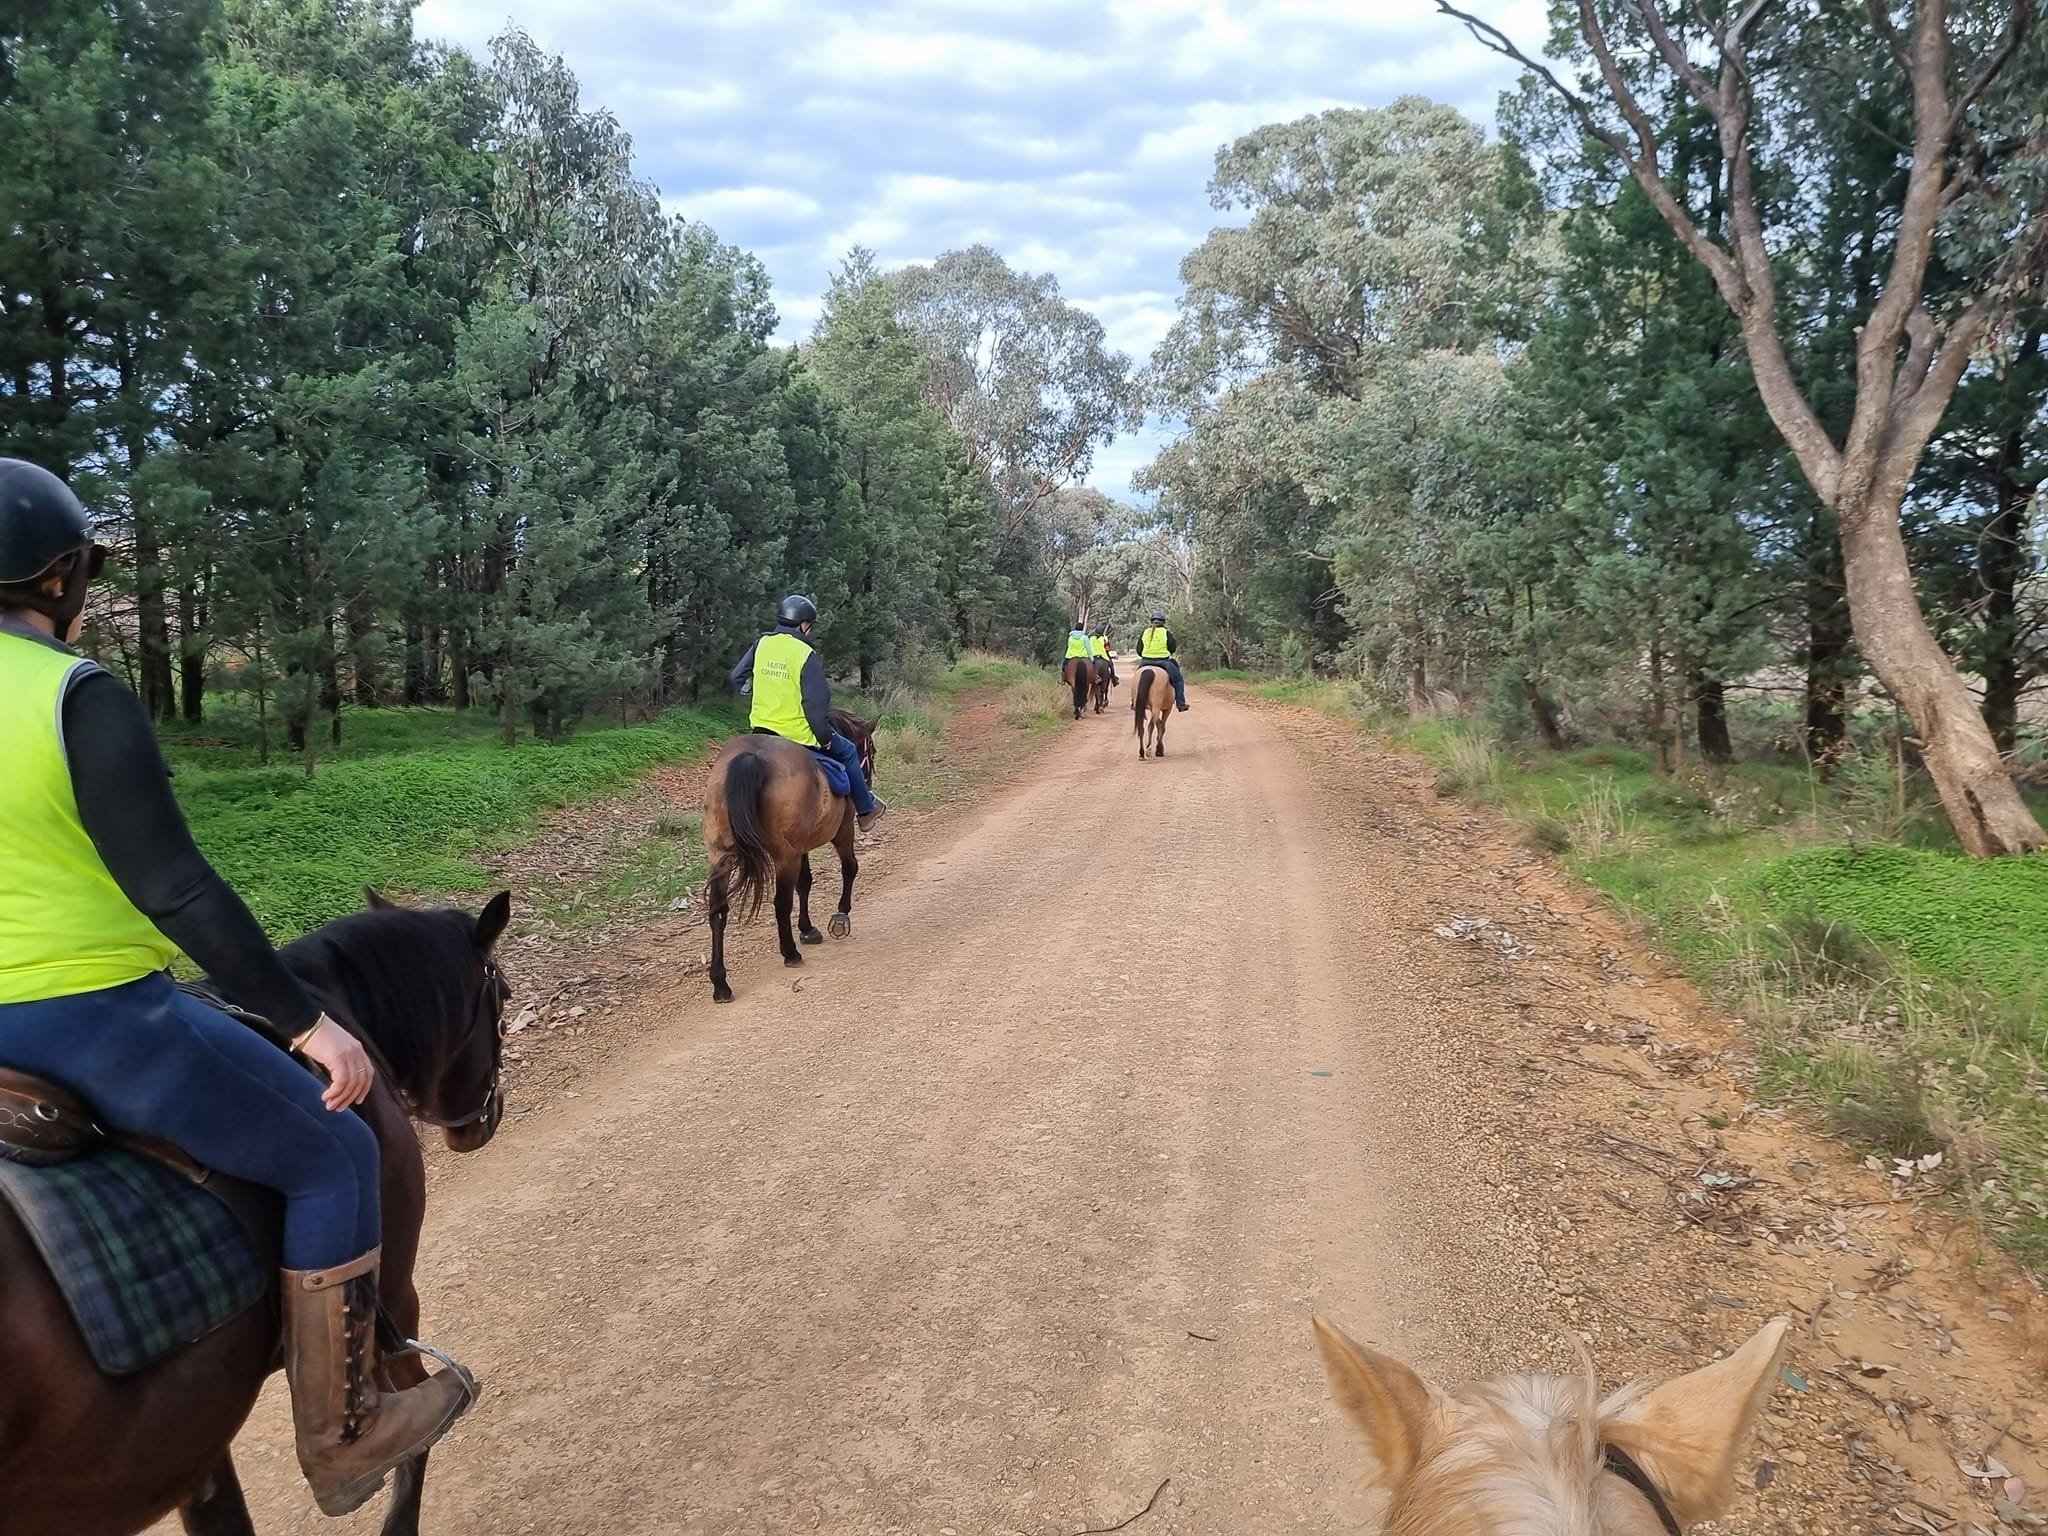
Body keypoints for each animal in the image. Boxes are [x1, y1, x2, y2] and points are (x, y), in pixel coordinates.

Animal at [704, 708, 880, 1003]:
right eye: (873, 750)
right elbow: (849, 867)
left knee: (718, 911)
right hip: (784, 856)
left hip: (721, 856)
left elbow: (805, 883)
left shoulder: (801, 847)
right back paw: (790, 953)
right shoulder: (841, 830)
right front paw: (840, 916)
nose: (868, 780)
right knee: (780, 903)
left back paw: (720, 983)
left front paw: (807, 929)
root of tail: (750, 757)